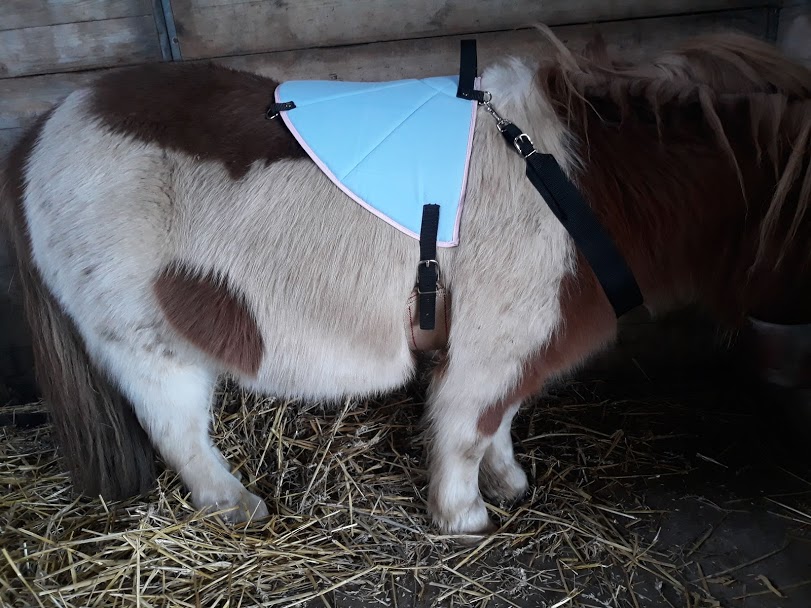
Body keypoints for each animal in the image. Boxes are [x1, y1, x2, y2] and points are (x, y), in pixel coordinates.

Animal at [2, 26, 810, 536]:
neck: (578, 182)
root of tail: (48, 124)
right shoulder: (489, 352)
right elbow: (465, 428)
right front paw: (464, 519)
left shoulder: (504, 349)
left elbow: (500, 423)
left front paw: (508, 484)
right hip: (145, 344)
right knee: (177, 431)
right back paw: (236, 506)